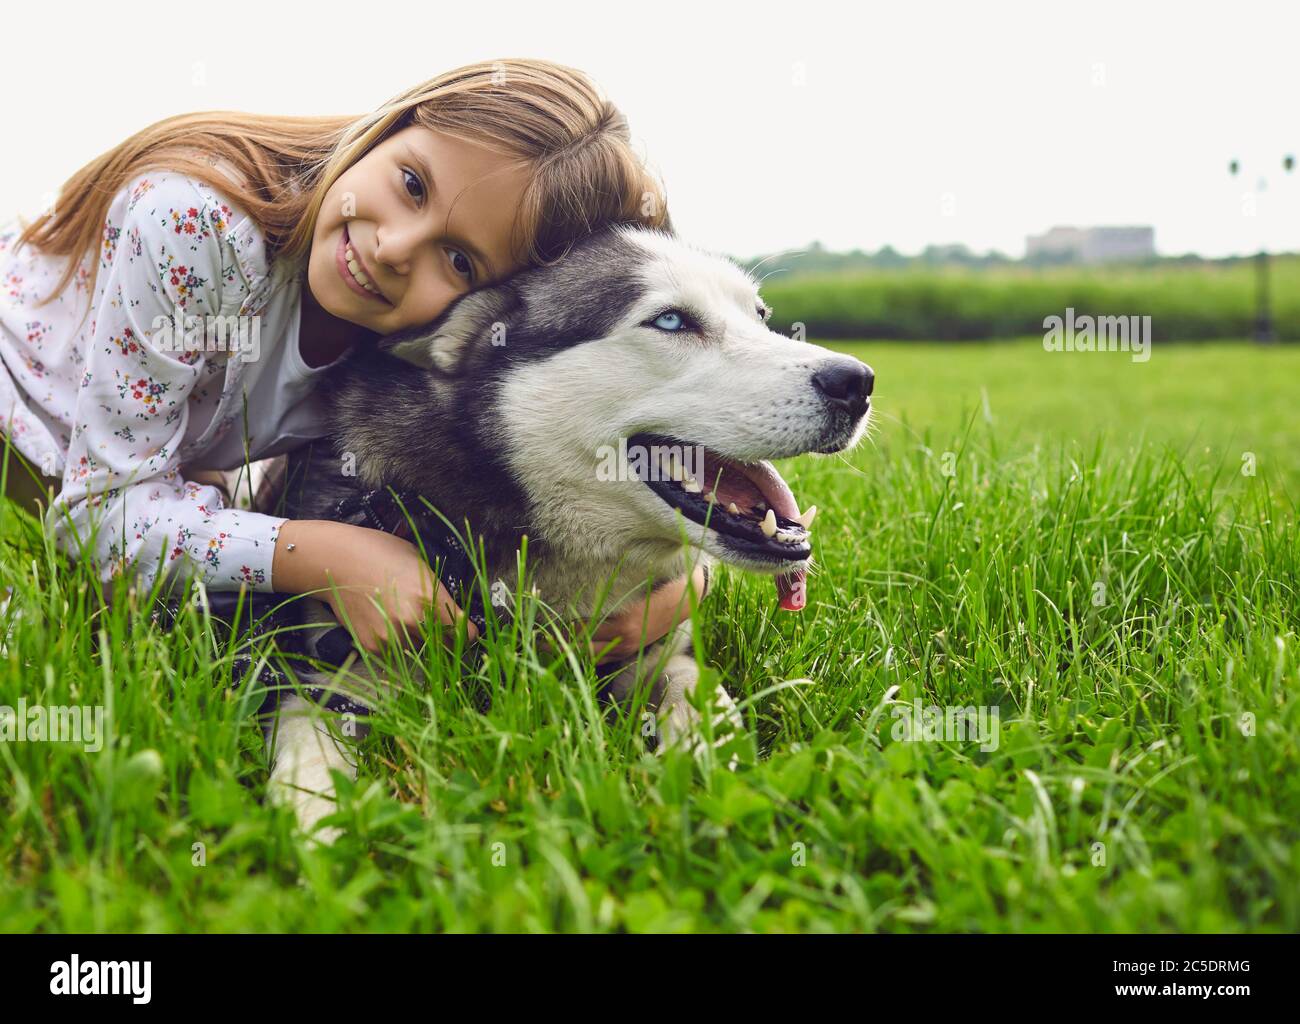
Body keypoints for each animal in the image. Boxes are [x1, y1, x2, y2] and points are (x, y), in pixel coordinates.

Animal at [263, 226, 873, 842]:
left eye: (760, 316)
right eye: (671, 321)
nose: (858, 382)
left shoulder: (662, 651)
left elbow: (701, 694)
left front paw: (723, 773)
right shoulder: (332, 680)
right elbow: (309, 763)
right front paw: (313, 829)